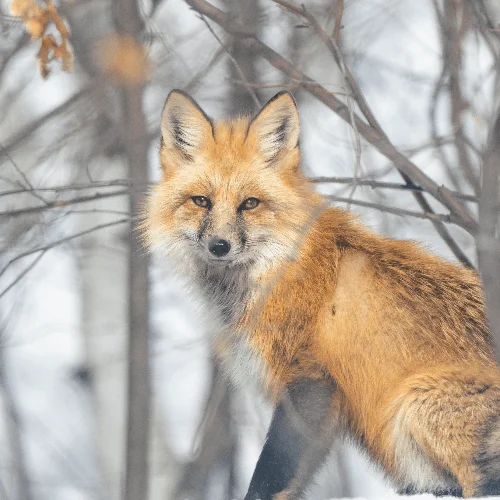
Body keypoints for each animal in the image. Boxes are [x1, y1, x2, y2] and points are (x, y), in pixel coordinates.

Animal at [145, 90, 500, 500]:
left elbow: (269, 476)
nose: (219, 246)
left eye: (249, 203)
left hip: (416, 404)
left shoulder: (310, 379)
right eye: (201, 201)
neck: (277, 269)